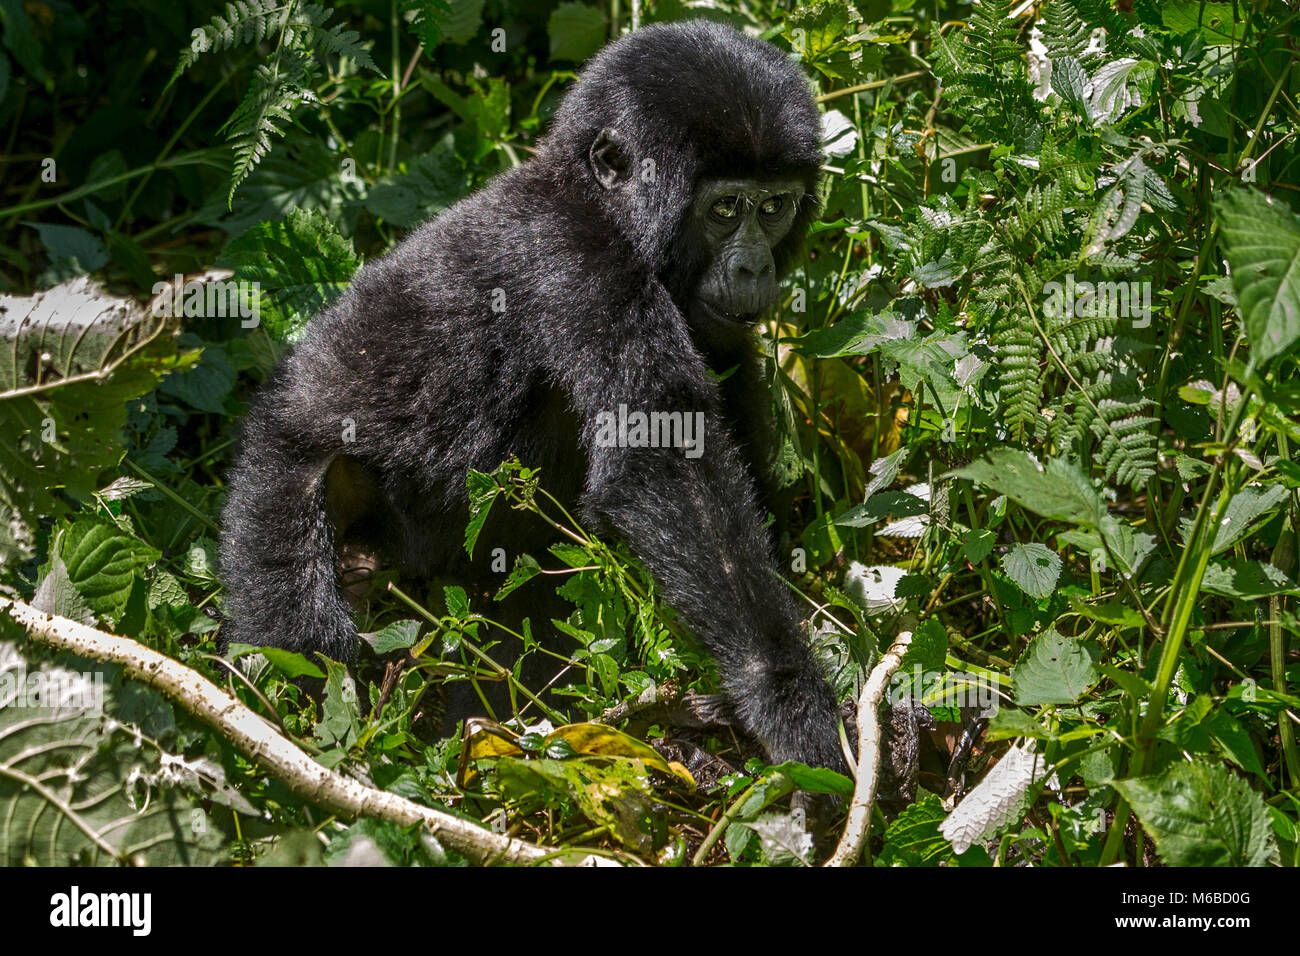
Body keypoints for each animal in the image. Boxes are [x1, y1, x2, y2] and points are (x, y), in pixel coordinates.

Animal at [223, 18, 847, 775]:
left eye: (774, 207)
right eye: (725, 209)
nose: (756, 266)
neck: (592, 194)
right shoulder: (579, 259)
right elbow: (663, 461)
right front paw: (786, 696)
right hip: (277, 476)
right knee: (298, 626)